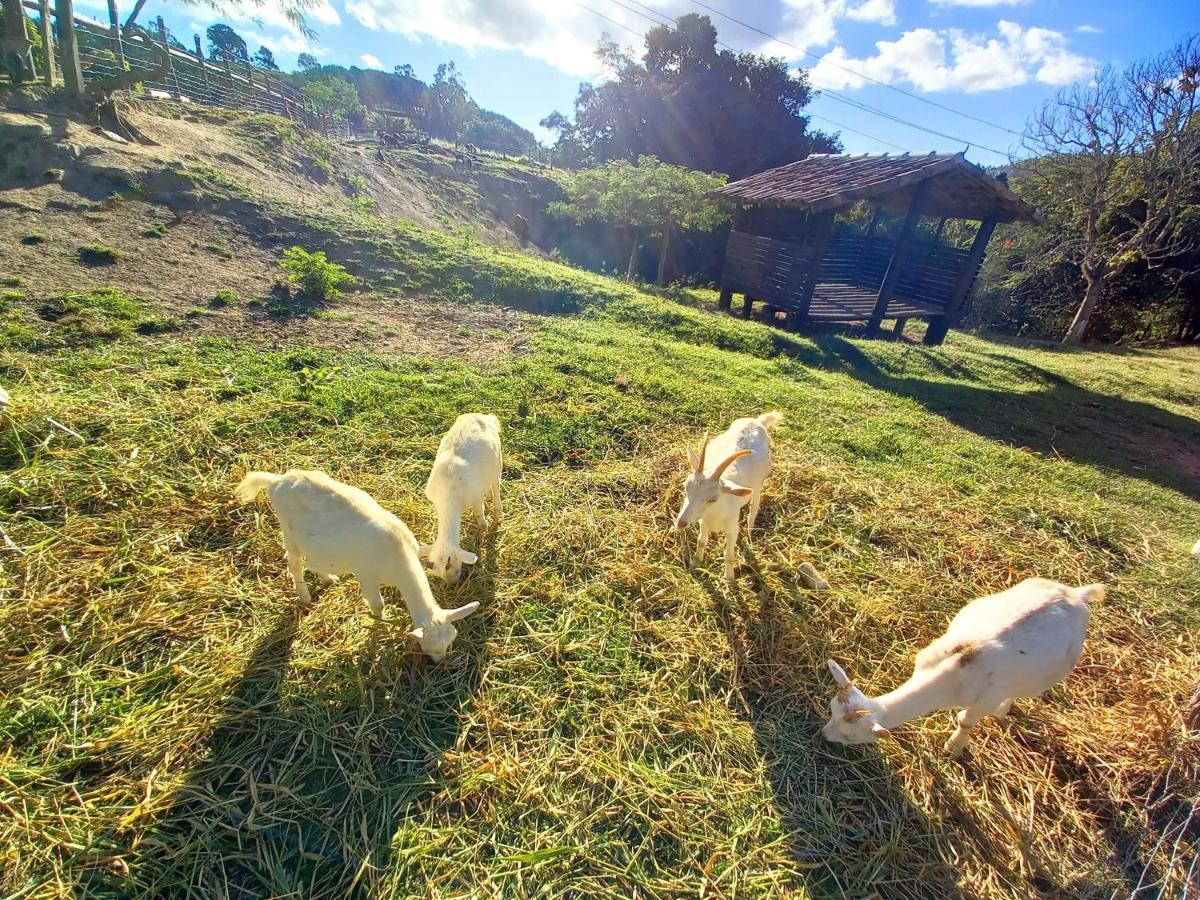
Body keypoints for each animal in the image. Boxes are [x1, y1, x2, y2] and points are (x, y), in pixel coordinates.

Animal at [234, 472, 477, 662]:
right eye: (428, 646)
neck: (399, 560)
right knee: (294, 564)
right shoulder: (367, 576)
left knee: (313, 561)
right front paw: (380, 626)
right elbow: (377, 605)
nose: (439, 662)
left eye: (450, 640)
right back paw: (304, 597)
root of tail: (276, 481)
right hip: (289, 532)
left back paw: (328, 579)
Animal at [422, 415, 501, 585]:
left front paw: (482, 532)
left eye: (455, 567)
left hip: (497, 460)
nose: (453, 585)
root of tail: (486, 417)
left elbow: (479, 516)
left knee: (496, 482)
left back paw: (498, 508)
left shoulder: (476, 496)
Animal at [672, 412, 782, 580]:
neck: (716, 513)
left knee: (754, 505)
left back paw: (749, 531)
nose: (681, 523)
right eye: (686, 487)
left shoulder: (732, 529)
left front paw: (729, 578)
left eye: (713, 499)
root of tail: (757, 421)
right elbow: (701, 541)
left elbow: (728, 554)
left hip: (759, 484)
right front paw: (696, 562)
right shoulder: (703, 522)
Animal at [820, 578, 1099, 763]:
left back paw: (1002, 711)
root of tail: (1078, 593)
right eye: (831, 710)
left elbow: (965, 721)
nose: (823, 735)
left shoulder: (985, 698)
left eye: (850, 736)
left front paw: (953, 748)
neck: (952, 670)